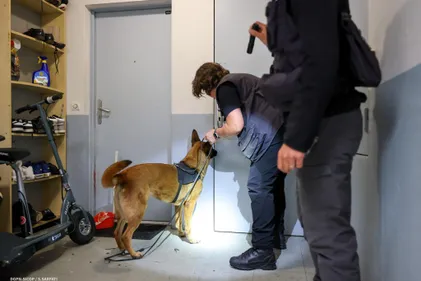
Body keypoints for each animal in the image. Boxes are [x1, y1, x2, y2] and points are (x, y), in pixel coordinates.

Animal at [99, 129, 217, 258]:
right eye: (212, 148)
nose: (217, 151)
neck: (192, 167)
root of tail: (123, 175)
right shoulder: (189, 205)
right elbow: (188, 225)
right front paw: (191, 239)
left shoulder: (179, 205)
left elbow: (179, 221)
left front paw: (181, 233)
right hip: (138, 213)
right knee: (126, 235)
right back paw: (134, 254)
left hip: (125, 214)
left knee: (117, 232)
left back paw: (123, 250)